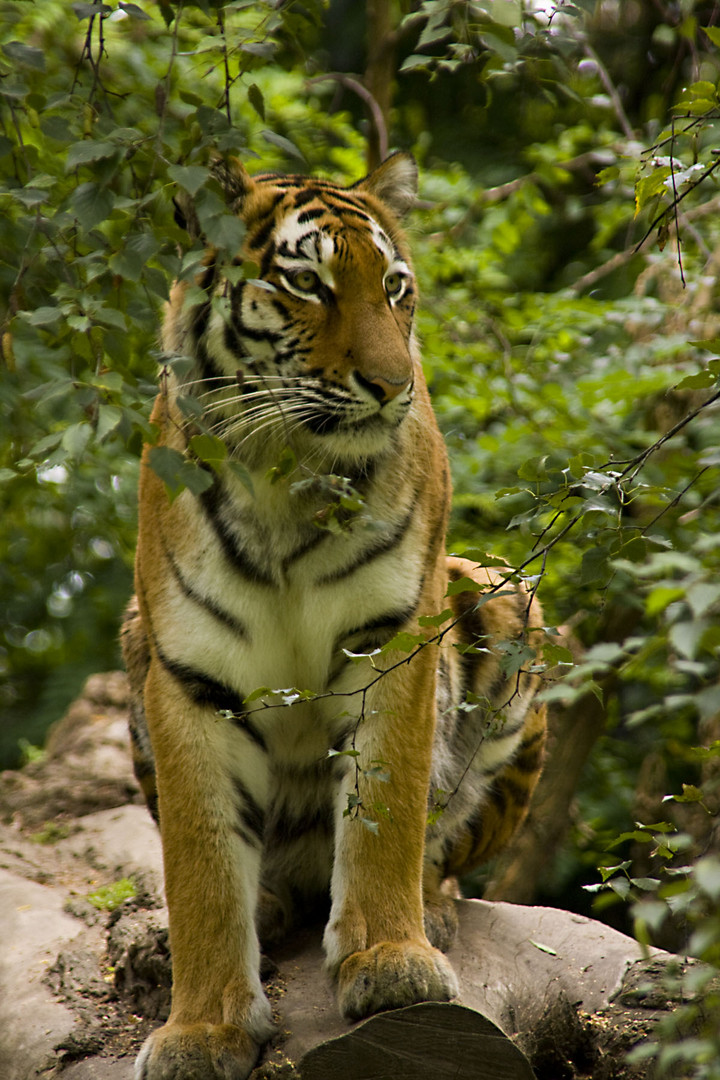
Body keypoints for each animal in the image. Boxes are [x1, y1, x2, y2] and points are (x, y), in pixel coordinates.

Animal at [122, 154, 546, 1080]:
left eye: (394, 288)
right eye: (307, 284)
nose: (393, 388)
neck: (286, 472)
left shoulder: (396, 638)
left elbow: (385, 808)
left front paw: (389, 962)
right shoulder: (189, 674)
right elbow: (201, 864)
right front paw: (201, 1030)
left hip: (507, 603)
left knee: (439, 847)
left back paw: (432, 907)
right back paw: (271, 907)